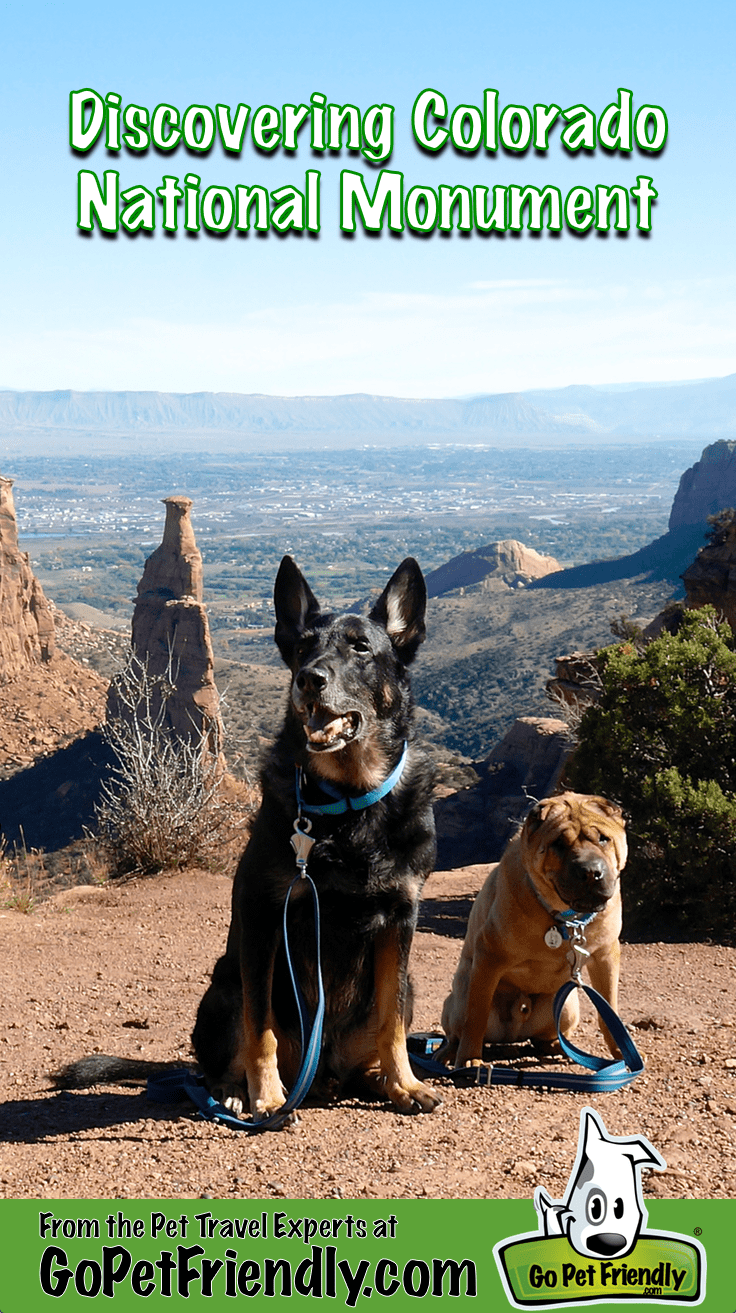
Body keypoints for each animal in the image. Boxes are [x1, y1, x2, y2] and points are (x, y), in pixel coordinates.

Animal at [192, 551, 438, 1118]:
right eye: (303, 646)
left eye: (361, 647)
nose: (309, 678)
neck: (348, 803)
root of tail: (322, 1072)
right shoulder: (264, 915)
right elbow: (259, 1025)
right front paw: (265, 1096)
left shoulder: (401, 920)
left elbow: (392, 1020)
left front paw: (405, 1082)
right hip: (224, 985)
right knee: (232, 1046)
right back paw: (235, 1092)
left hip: (407, 987)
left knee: (374, 1038)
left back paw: (376, 1079)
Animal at [438, 793, 629, 1071]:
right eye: (558, 843)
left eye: (603, 838)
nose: (591, 872)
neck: (567, 920)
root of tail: (515, 1032)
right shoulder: (489, 956)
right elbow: (476, 1016)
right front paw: (470, 1059)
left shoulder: (605, 956)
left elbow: (610, 1011)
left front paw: (622, 1051)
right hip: (459, 997)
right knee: (457, 1030)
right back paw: (449, 1052)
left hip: (568, 1006)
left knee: (544, 1037)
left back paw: (558, 1047)